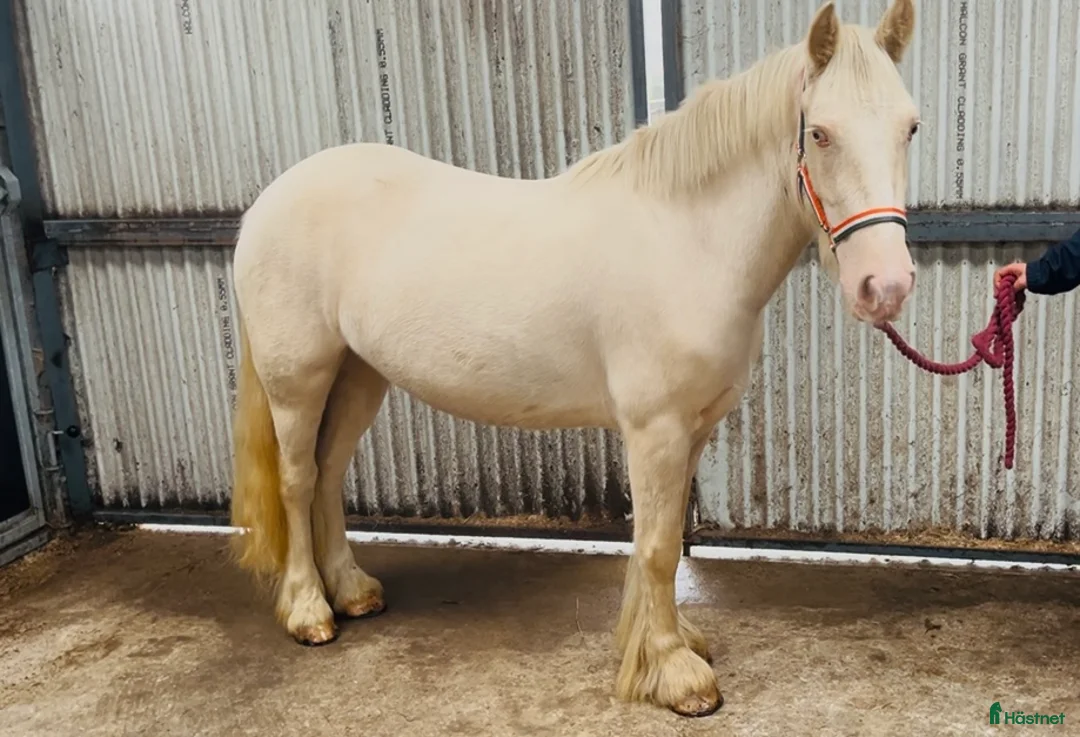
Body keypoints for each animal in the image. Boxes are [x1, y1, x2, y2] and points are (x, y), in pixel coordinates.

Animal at [228, 0, 919, 717]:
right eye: (821, 134)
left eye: (911, 127)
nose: (885, 286)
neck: (686, 239)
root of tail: (268, 203)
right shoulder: (655, 429)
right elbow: (658, 547)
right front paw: (675, 674)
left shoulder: (692, 428)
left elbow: (657, 543)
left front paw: (665, 644)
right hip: (298, 379)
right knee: (297, 479)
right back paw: (310, 610)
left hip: (358, 375)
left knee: (329, 473)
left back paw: (352, 590)